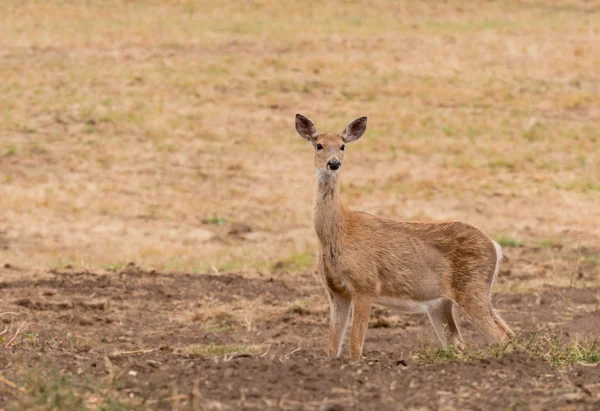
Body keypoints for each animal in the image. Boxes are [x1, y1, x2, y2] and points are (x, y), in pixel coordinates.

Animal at [296, 113, 516, 360]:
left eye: (343, 146)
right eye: (319, 145)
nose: (334, 163)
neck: (341, 231)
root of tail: (495, 246)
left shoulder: (365, 285)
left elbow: (356, 346)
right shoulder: (335, 291)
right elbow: (332, 347)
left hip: (473, 288)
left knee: (504, 335)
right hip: (441, 303)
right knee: (461, 343)